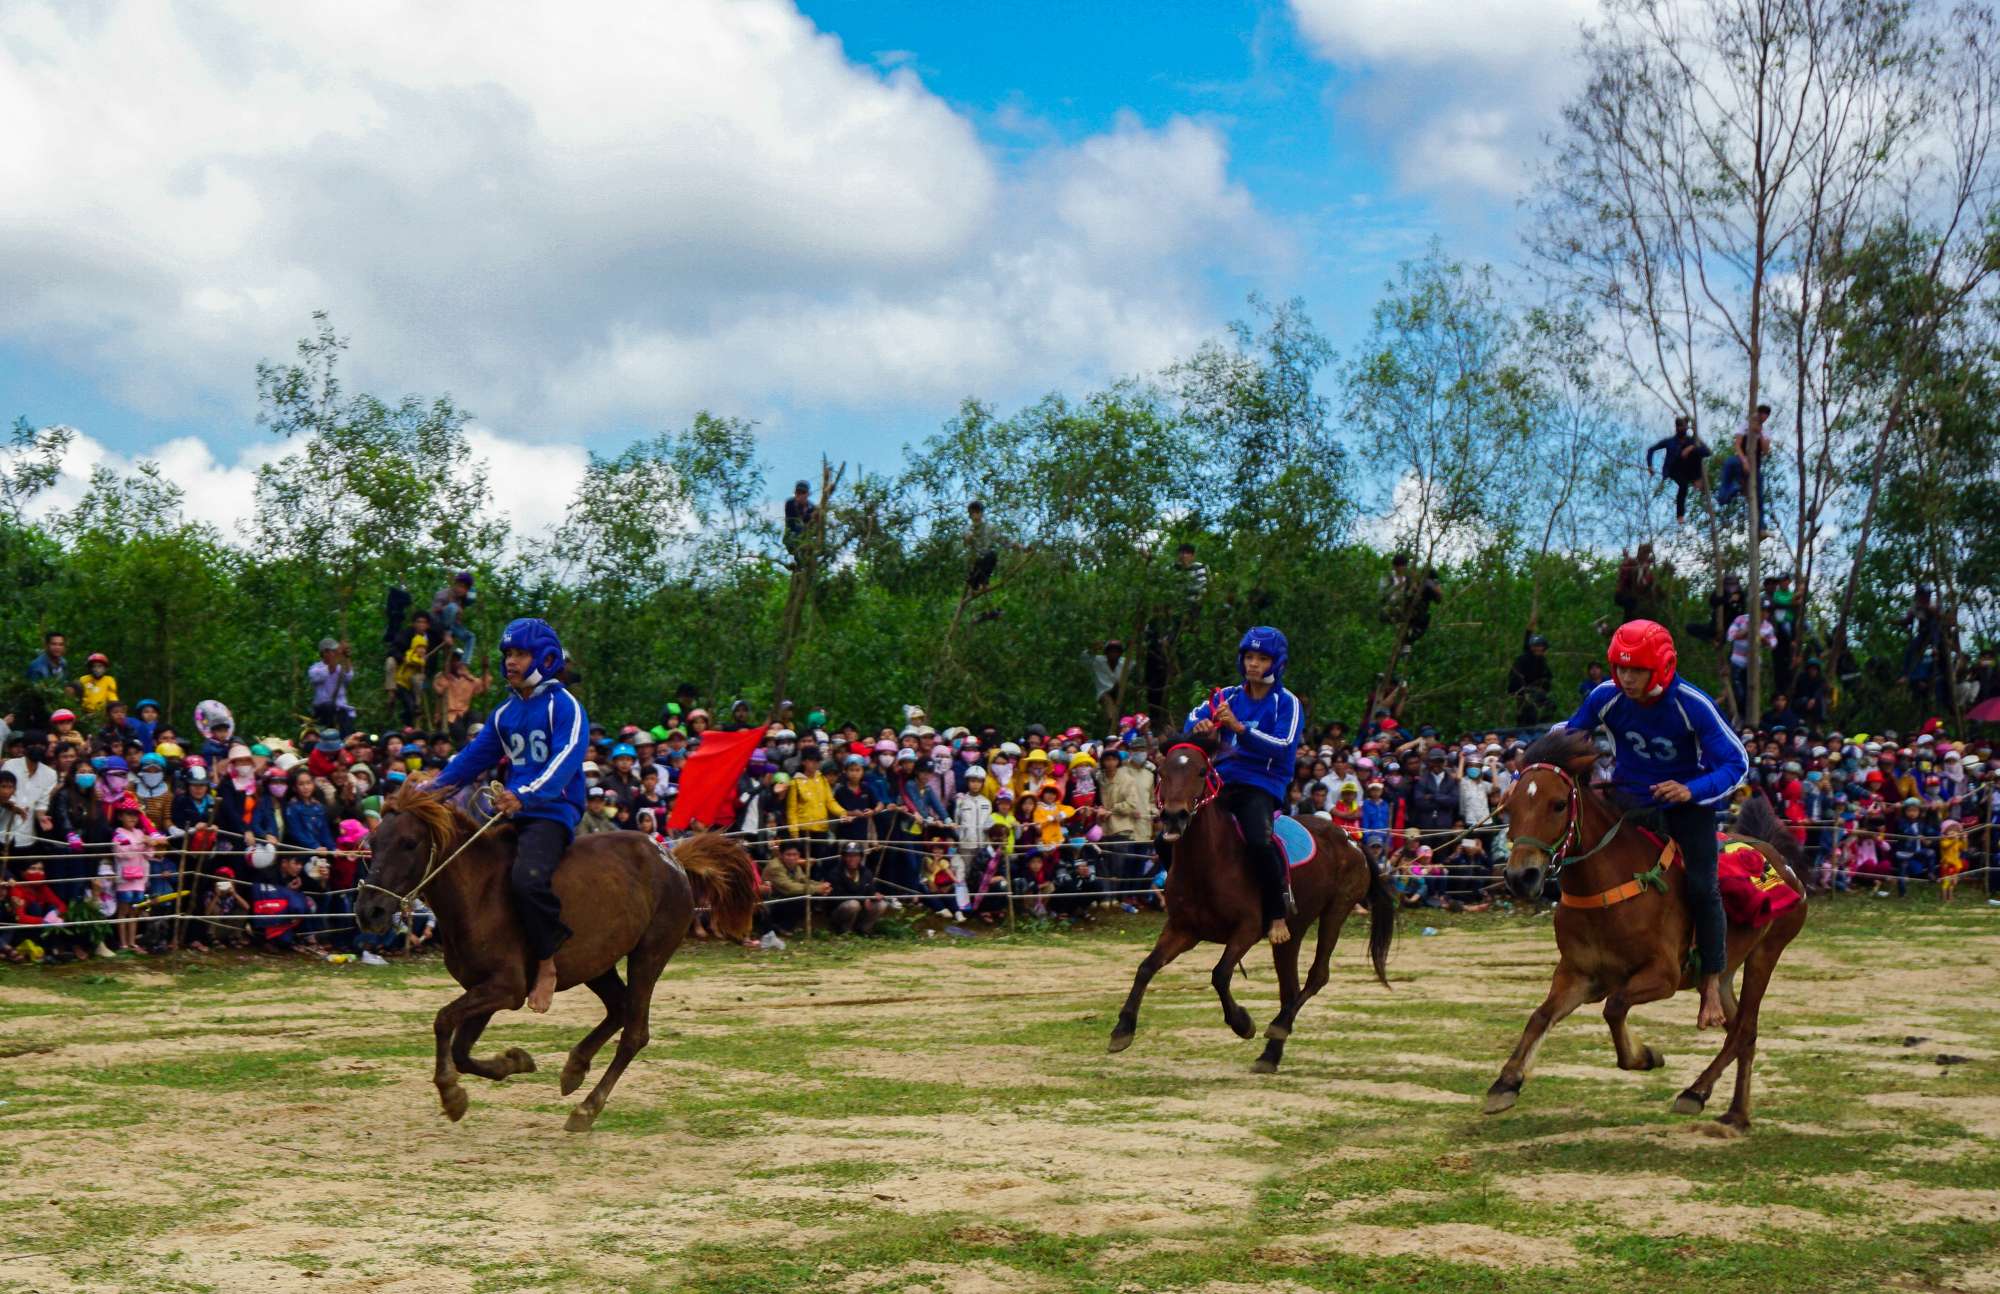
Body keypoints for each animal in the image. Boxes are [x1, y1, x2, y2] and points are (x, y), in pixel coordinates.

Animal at [352, 784, 756, 1128]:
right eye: (373, 842)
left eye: (409, 843)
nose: (369, 911)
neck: (478, 892)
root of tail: (671, 857)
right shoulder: (483, 989)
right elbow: (462, 1050)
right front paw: (514, 1062)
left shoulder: (506, 988)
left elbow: (443, 1020)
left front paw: (451, 1094)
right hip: (597, 963)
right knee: (619, 1008)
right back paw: (574, 1067)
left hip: (649, 955)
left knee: (635, 1033)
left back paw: (587, 1108)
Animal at [1112, 736, 1392, 1080]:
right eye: (1162, 772)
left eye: (1202, 771)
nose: (1174, 816)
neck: (1208, 860)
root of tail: (1349, 839)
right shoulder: (1183, 930)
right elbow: (1146, 967)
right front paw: (1122, 1029)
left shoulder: (1246, 929)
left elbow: (1220, 974)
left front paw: (1242, 1023)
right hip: (1292, 930)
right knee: (1290, 987)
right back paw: (1270, 1054)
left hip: (1336, 911)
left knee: (1317, 976)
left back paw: (1279, 1025)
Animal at [1488, 736, 1816, 1128]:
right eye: (1510, 807)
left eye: (1557, 804)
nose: (1521, 877)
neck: (1608, 888)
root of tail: (1781, 861)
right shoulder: (1578, 974)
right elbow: (1540, 1016)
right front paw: (1506, 1083)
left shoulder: (1663, 976)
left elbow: (1614, 1008)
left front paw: (1645, 1056)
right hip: (1723, 974)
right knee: (1741, 1029)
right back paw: (1736, 1113)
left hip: (1765, 955)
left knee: (1743, 1030)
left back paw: (1695, 1092)